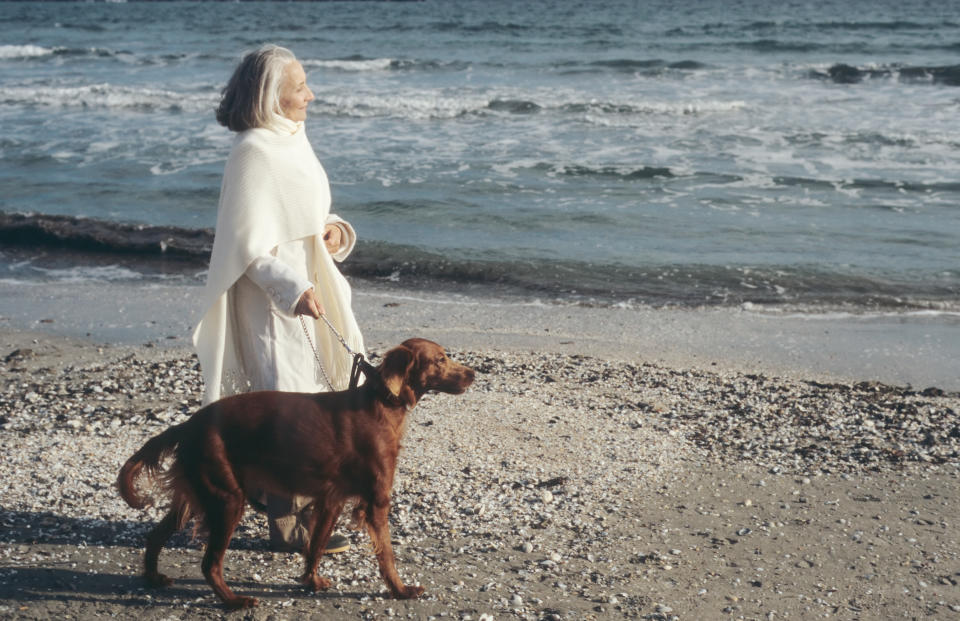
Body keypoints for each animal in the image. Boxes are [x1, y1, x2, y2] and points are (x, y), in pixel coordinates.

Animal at [117, 336, 476, 608]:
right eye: (440, 359)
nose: (473, 374)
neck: (383, 401)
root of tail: (188, 425)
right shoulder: (376, 501)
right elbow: (386, 553)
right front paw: (401, 590)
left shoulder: (332, 499)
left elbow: (315, 545)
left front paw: (311, 580)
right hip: (227, 498)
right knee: (210, 564)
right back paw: (234, 601)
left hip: (197, 497)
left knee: (156, 535)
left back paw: (153, 577)